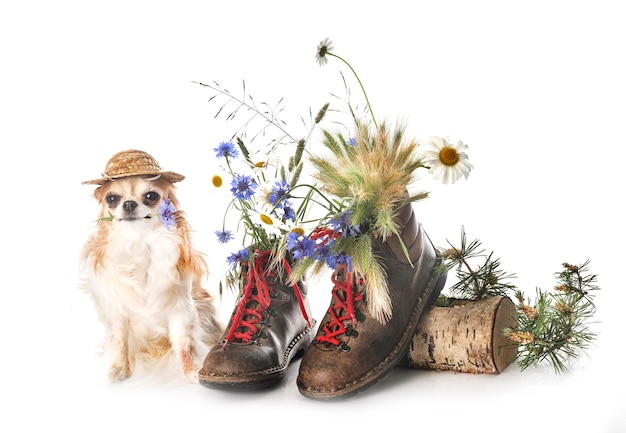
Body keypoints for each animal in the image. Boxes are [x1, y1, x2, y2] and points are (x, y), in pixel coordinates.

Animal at [80, 149, 222, 382]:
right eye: (112, 198)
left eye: (151, 196)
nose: (128, 203)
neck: (140, 245)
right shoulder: (117, 312)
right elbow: (119, 341)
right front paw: (119, 369)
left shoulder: (181, 308)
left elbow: (185, 343)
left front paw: (192, 371)